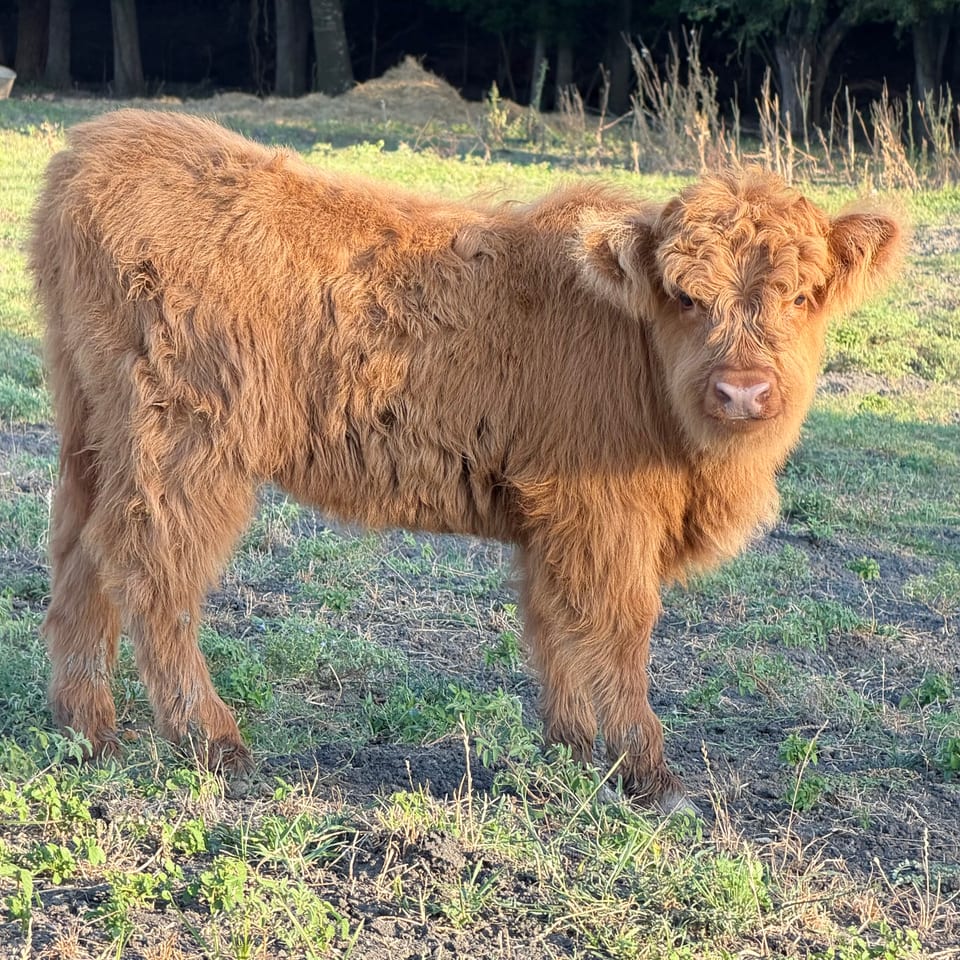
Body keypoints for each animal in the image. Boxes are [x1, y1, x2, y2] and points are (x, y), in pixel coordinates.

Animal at [29, 109, 904, 811]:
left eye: (803, 295)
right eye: (686, 297)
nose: (744, 390)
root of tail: (99, 146)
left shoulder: (552, 519)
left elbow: (553, 626)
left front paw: (569, 749)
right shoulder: (602, 516)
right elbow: (618, 629)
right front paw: (649, 775)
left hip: (92, 430)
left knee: (78, 553)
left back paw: (87, 732)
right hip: (186, 440)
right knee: (152, 570)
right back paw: (211, 741)